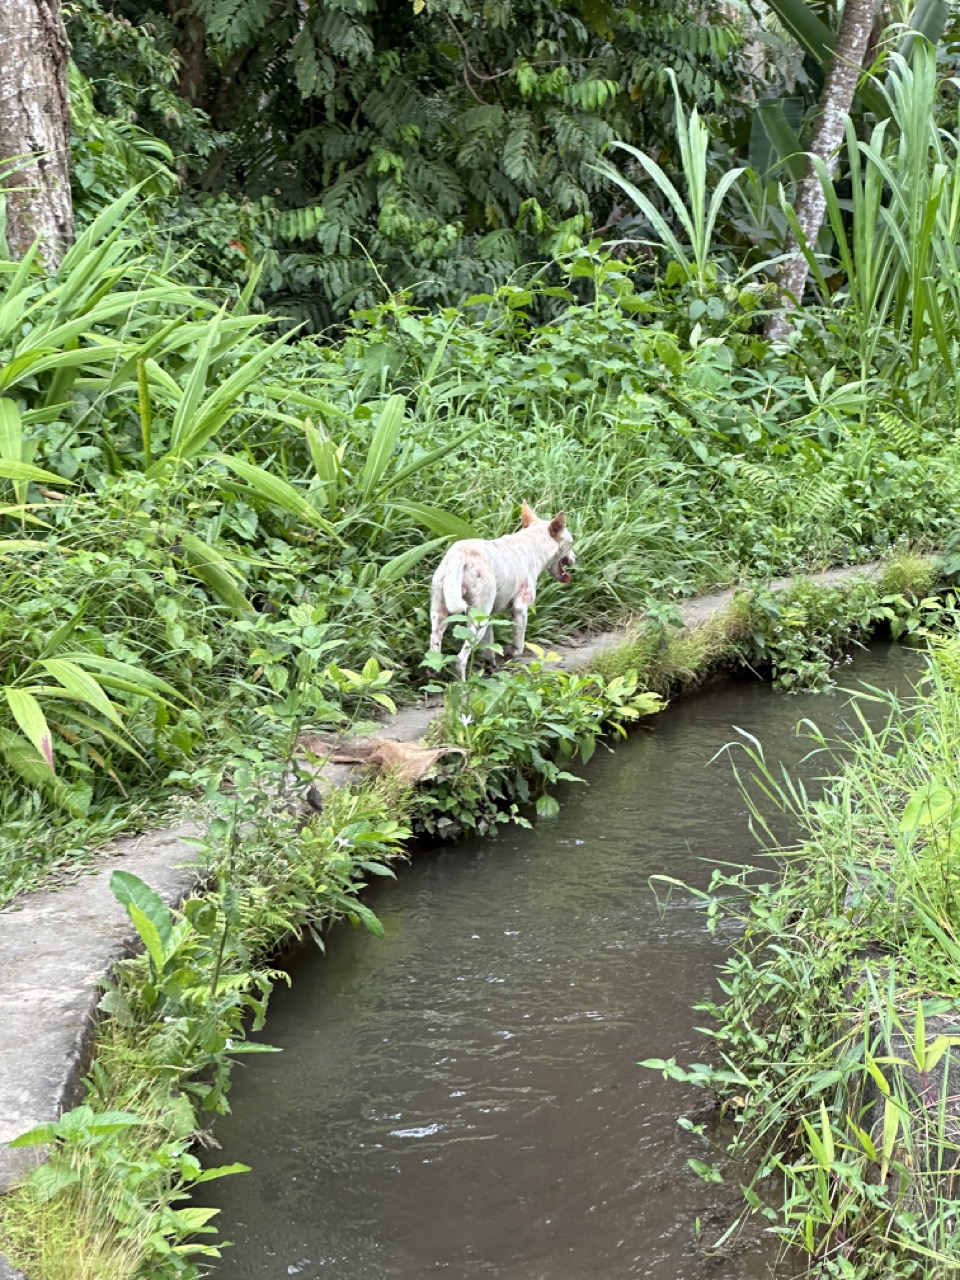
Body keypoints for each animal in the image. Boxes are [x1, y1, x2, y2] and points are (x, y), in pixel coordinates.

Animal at [430, 499, 578, 680]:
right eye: (571, 543)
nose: (575, 558)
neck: (531, 545)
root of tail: (461, 554)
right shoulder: (520, 608)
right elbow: (518, 643)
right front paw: (511, 654)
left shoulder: (490, 615)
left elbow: (489, 645)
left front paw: (490, 666)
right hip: (475, 622)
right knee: (460, 659)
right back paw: (462, 683)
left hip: (441, 613)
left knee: (434, 646)